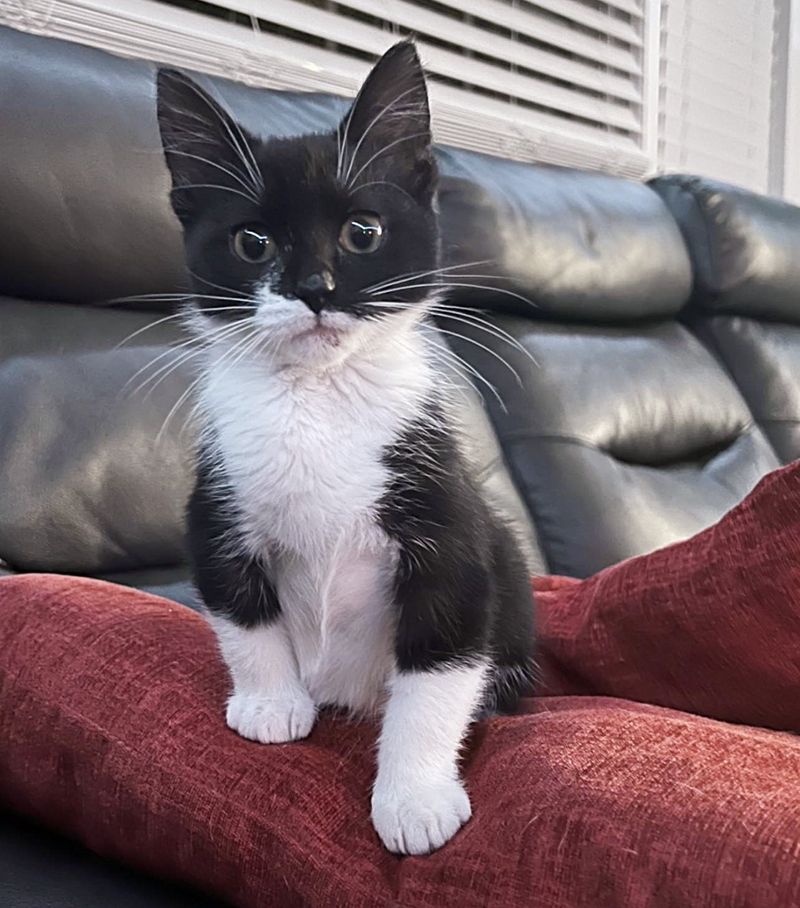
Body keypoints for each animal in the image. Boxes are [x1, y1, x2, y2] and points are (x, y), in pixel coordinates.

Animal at [156, 39, 536, 856]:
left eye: (363, 232)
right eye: (252, 241)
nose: (316, 287)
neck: (319, 399)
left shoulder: (452, 531)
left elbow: (439, 666)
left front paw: (415, 798)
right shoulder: (217, 499)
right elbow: (240, 606)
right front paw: (270, 705)